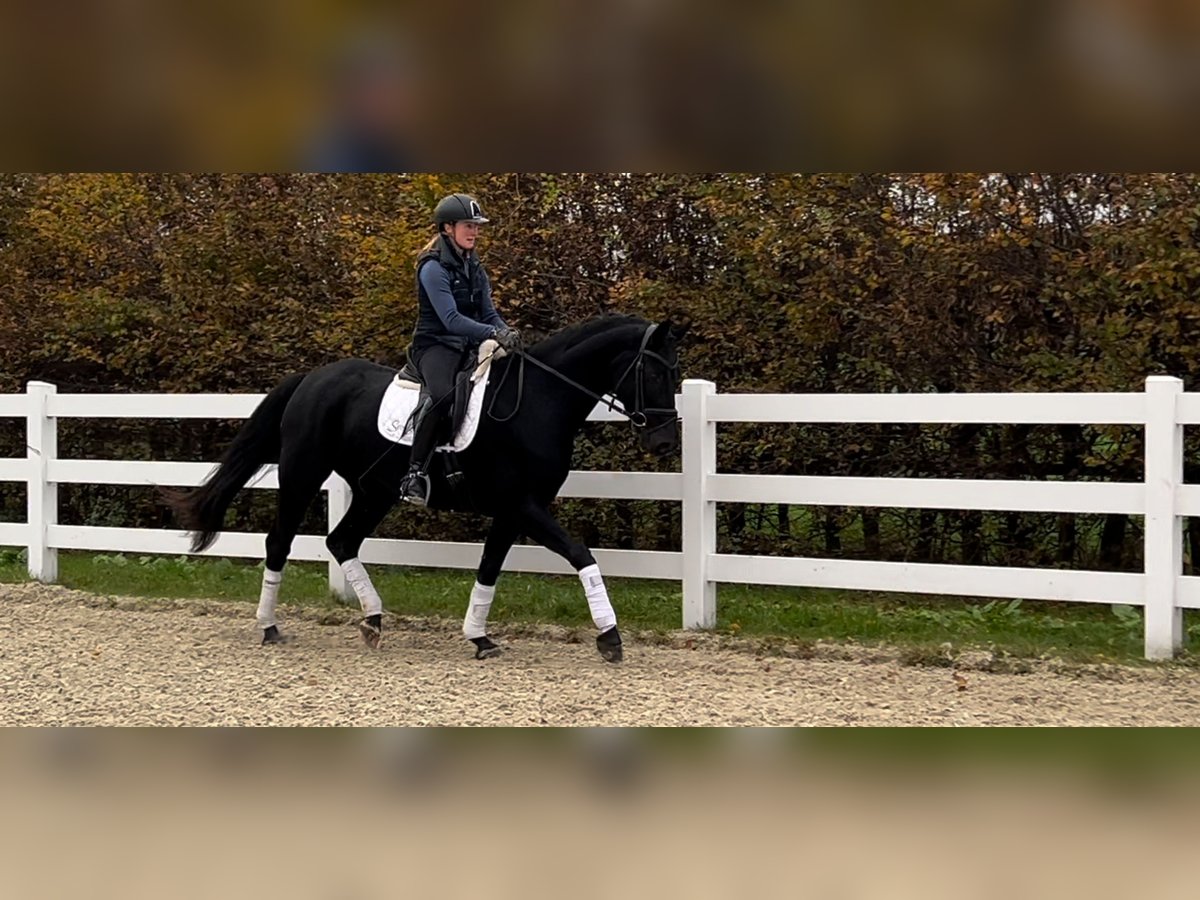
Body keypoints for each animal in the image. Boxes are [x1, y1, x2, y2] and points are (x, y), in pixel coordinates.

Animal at [165, 314, 686, 662]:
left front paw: (479, 637)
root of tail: (312, 378)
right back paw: (270, 627)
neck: (538, 401)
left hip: (373, 491)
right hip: (301, 475)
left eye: (676, 373)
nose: (664, 442)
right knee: (280, 543)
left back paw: (373, 621)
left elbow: (489, 570)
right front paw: (610, 637)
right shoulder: (524, 504)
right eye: (652, 372)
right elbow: (581, 554)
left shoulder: (513, 511)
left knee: (341, 541)